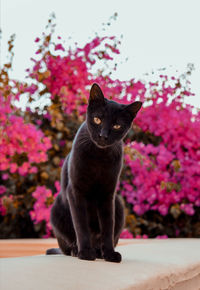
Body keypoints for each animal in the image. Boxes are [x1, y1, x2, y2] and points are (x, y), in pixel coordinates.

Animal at [46, 84, 142, 262]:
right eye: (98, 119)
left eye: (117, 126)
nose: (103, 136)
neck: (99, 157)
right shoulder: (76, 191)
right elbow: (81, 225)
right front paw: (85, 252)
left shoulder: (107, 194)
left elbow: (107, 226)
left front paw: (109, 253)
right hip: (56, 211)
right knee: (67, 244)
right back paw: (76, 250)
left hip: (118, 205)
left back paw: (98, 251)